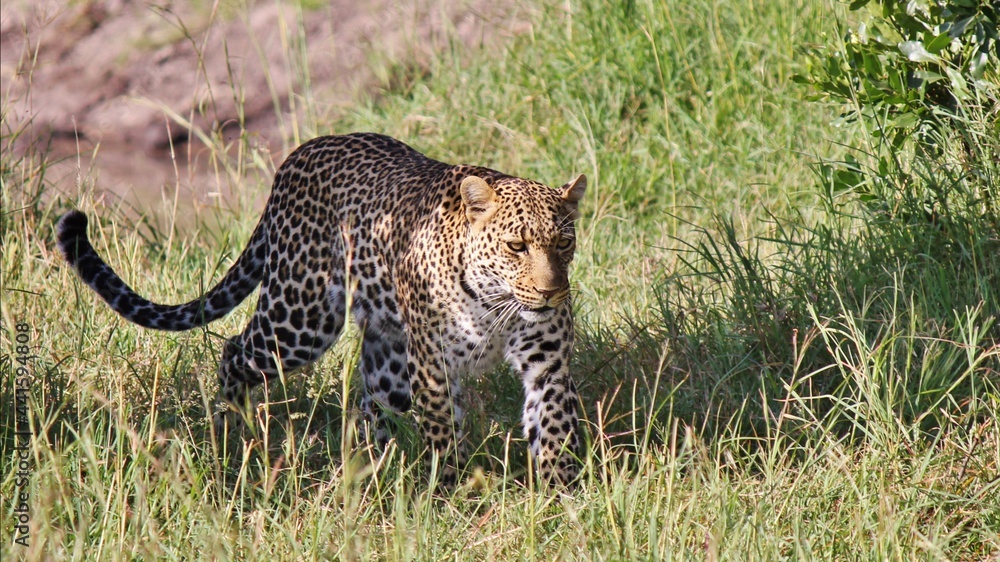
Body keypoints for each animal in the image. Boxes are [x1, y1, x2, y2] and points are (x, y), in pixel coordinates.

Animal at [57, 132, 586, 488]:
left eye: (563, 243)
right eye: (516, 246)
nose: (551, 292)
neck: (496, 303)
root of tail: (299, 154)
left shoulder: (547, 363)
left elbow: (553, 428)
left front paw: (560, 500)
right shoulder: (432, 368)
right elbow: (443, 434)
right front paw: (451, 490)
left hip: (387, 356)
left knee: (370, 410)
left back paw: (371, 470)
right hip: (300, 317)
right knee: (235, 351)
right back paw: (238, 434)